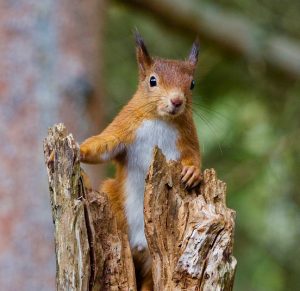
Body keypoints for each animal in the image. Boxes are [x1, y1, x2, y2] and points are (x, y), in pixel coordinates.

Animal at [79, 32, 202, 291]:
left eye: (192, 84)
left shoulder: (188, 140)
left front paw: (192, 172)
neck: (160, 119)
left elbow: (194, 157)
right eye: (152, 81)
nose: (177, 101)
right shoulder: (124, 128)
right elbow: (103, 145)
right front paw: (79, 149)